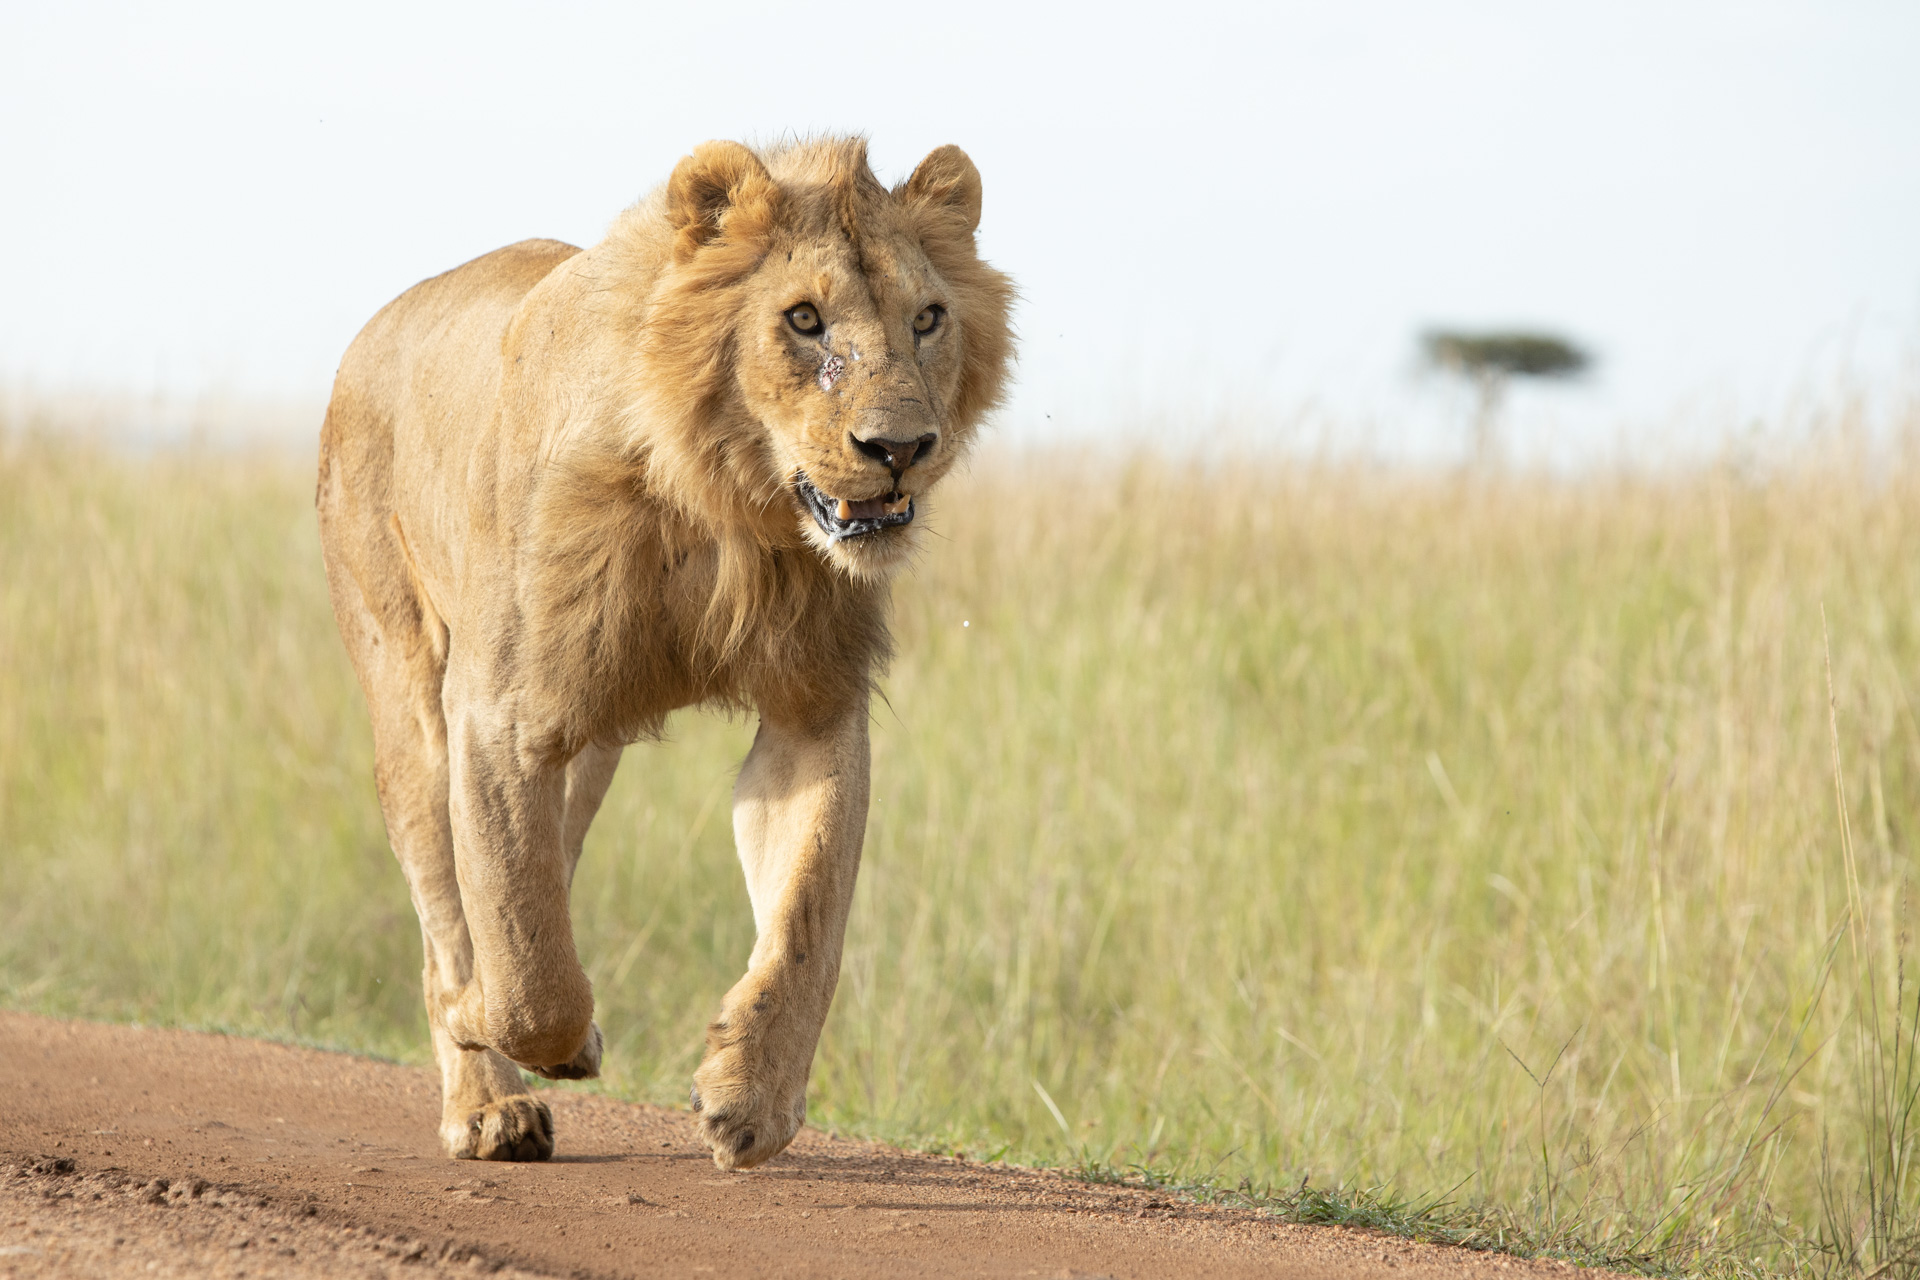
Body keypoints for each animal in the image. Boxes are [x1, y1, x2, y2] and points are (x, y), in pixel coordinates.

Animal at [311, 138, 1021, 1174]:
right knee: (449, 902)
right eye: (802, 319)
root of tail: (379, 325)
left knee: (549, 861)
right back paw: (488, 1100)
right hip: (407, 687)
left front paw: (751, 1098)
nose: (900, 448)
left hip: (591, 743)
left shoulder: (813, 704)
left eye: (927, 318)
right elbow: (523, 964)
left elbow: (808, 913)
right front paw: (487, 1020)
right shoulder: (499, 715)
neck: (731, 502)